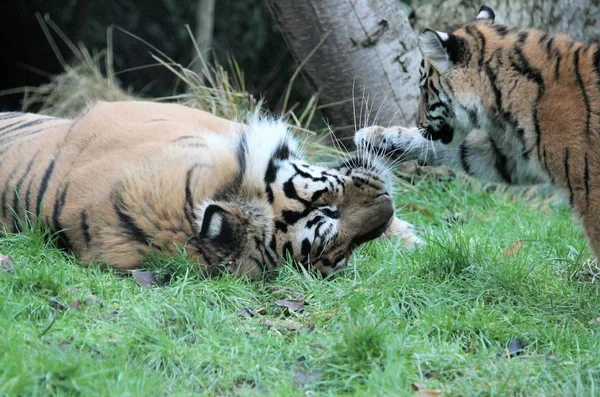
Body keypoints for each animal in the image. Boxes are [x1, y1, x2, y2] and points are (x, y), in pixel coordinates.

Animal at [354, 6, 600, 262]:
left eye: (423, 87)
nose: (418, 123)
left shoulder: (591, 190)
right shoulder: (513, 155)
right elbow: (462, 152)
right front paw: (376, 137)